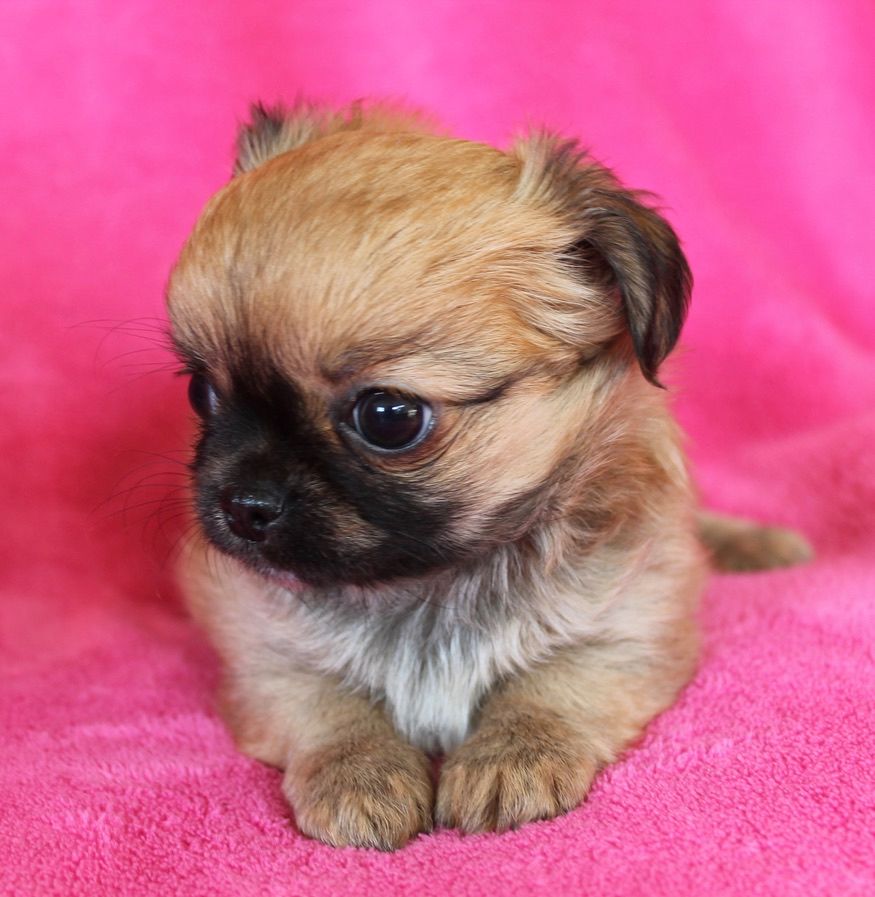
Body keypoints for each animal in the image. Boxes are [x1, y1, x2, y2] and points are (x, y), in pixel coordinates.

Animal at [166, 101, 811, 850]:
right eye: (201, 393)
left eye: (388, 417)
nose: (241, 502)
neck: (431, 584)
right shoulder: (260, 654)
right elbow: (329, 710)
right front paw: (360, 775)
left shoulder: (627, 632)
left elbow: (547, 691)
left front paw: (511, 759)